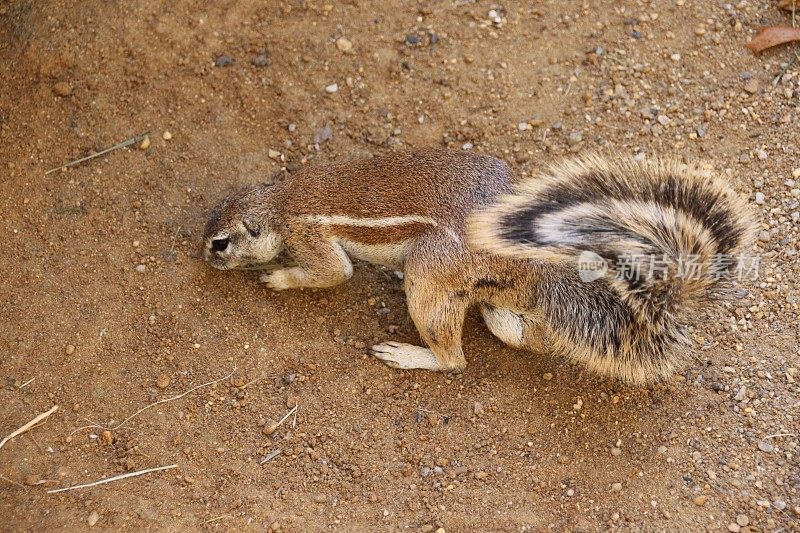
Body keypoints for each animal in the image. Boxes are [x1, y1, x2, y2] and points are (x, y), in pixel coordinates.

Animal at [202, 149, 756, 382]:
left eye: (220, 243)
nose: (200, 257)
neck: (278, 200)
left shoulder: (310, 236)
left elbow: (333, 274)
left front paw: (278, 277)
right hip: (495, 296)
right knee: (516, 329)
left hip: (430, 274)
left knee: (455, 359)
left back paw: (409, 354)